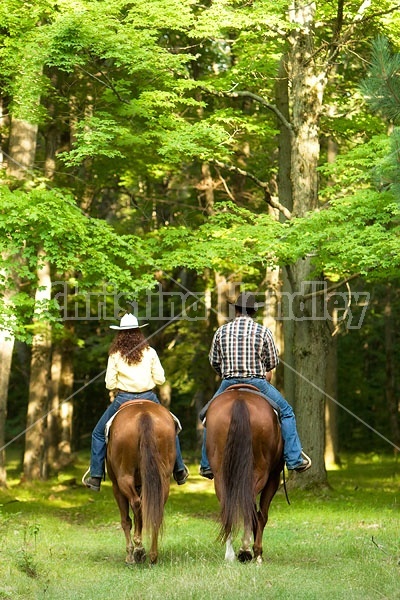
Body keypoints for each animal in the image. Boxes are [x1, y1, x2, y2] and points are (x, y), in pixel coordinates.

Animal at [106, 400, 177, 564]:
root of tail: (144, 413)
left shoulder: (116, 487)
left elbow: (126, 520)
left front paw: (130, 554)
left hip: (124, 478)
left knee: (136, 505)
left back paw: (138, 549)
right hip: (162, 480)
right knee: (155, 511)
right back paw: (153, 555)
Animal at [205, 384, 282, 564]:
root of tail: (240, 400)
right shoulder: (274, 477)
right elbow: (262, 514)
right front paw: (257, 552)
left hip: (221, 476)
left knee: (228, 508)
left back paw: (230, 554)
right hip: (259, 474)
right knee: (251, 508)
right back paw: (246, 550)